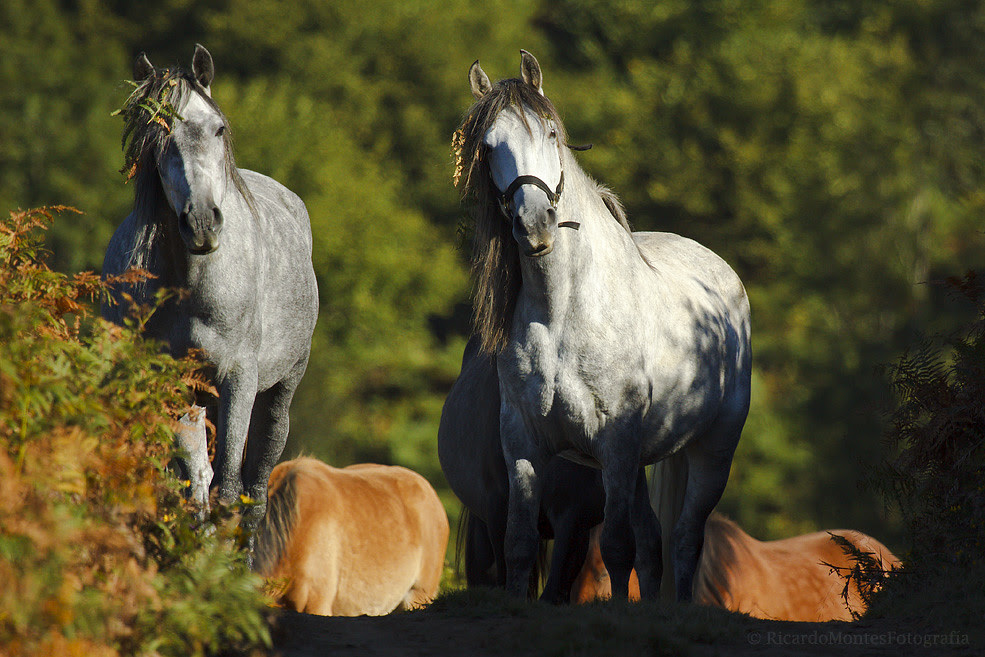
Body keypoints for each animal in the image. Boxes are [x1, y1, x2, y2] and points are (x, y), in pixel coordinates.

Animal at [101, 45, 318, 548]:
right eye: (155, 136)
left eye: (217, 128)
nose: (201, 222)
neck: (192, 284)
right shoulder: (168, 383)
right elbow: (189, 486)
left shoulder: (238, 378)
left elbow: (230, 489)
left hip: (277, 391)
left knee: (254, 487)